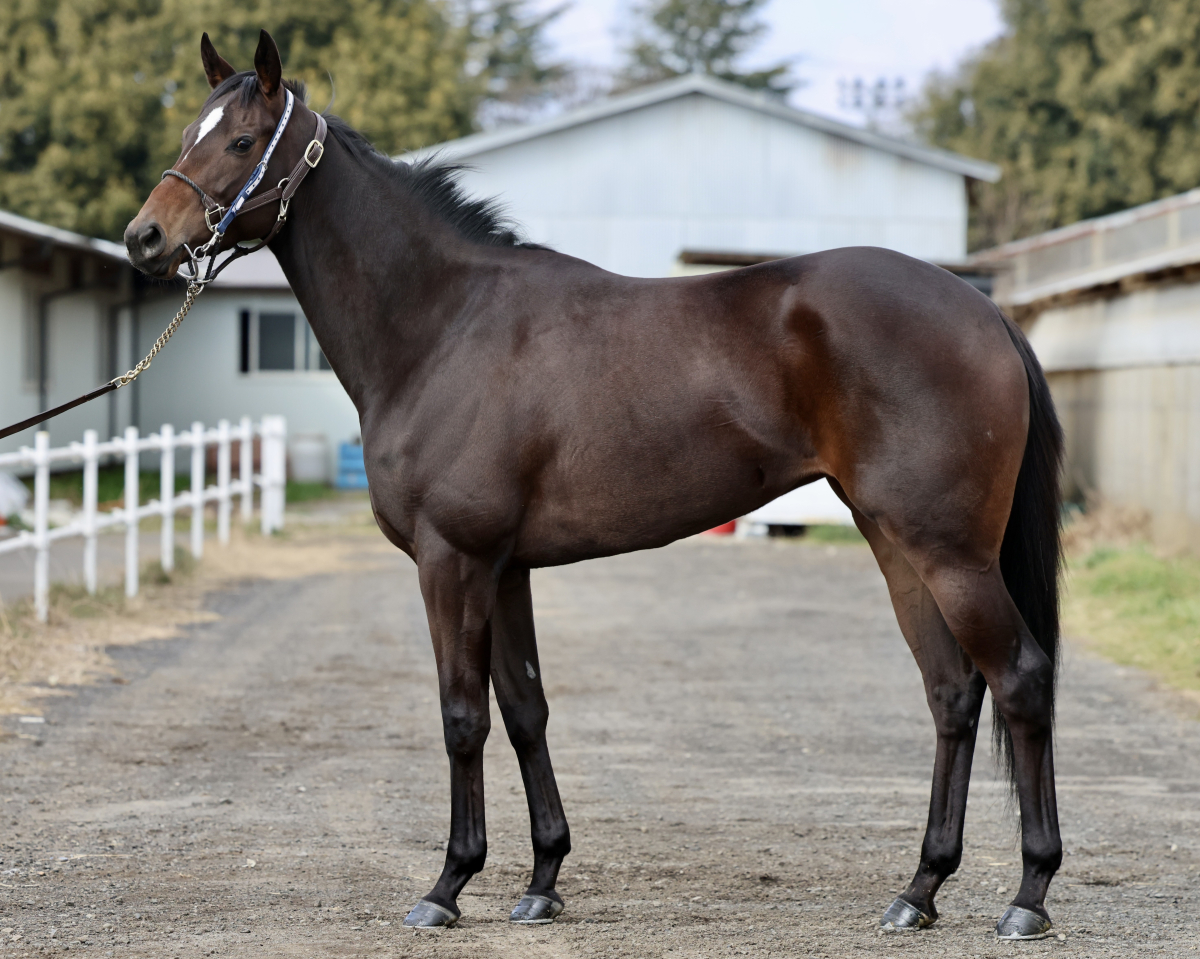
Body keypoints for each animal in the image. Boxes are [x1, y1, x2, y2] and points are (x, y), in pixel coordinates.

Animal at [124, 30, 1065, 940]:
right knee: (952, 692)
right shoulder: (505, 567)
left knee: (1020, 678)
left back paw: (1028, 894)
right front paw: (541, 880)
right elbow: (524, 708)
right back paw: (919, 890)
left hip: (951, 553)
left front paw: (447, 884)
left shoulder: (452, 559)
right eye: (190, 131)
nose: (144, 239)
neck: (443, 323)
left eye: (242, 141)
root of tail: (983, 311)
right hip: (895, 540)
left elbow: (461, 714)